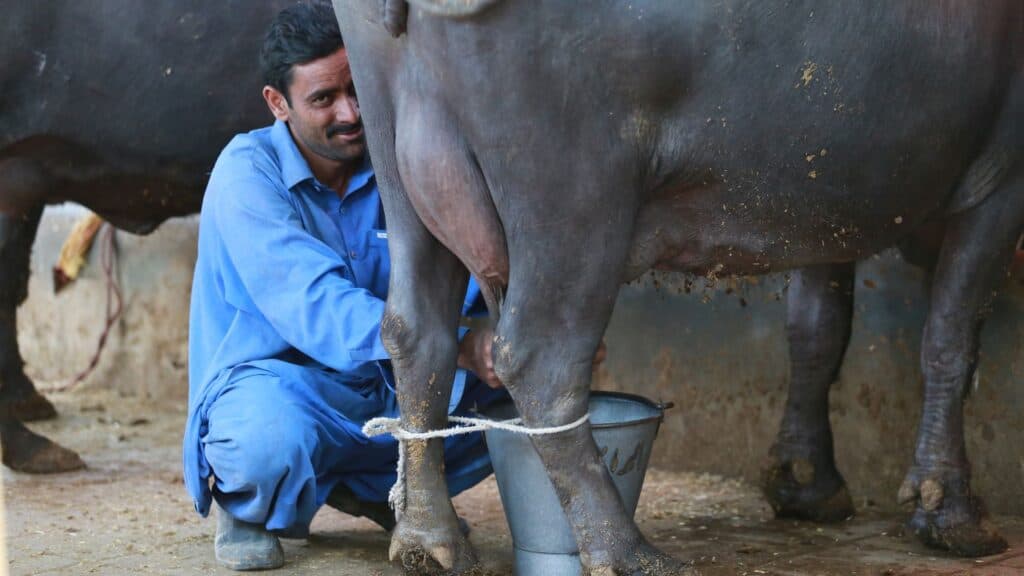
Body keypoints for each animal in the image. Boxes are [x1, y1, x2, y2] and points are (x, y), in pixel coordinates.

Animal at [331, 0, 1019, 569]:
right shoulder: (999, 183)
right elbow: (951, 340)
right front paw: (951, 512)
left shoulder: (825, 206)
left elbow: (817, 331)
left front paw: (805, 483)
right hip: (575, 194)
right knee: (538, 360)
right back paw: (626, 551)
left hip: (397, 164)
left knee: (417, 334)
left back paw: (428, 539)